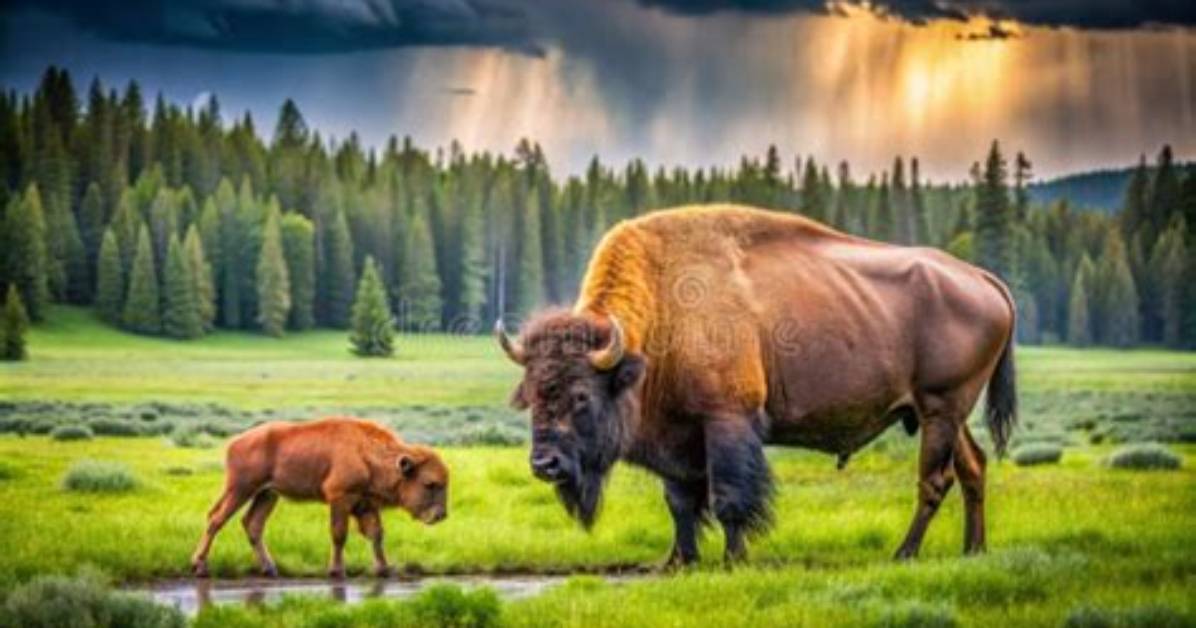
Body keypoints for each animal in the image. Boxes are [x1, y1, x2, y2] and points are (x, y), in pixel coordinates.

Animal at [190, 417, 450, 578]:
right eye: (429, 484)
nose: (441, 515)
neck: (367, 453)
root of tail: (234, 442)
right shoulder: (340, 498)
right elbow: (339, 534)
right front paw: (337, 571)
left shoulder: (365, 504)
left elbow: (376, 535)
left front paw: (384, 570)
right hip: (240, 488)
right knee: (216, 518)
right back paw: (200, 566)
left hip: (267, 494)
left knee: (252, 524)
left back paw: (270, 569)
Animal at [496, 205, 1016, 566]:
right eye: (531, 396)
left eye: (582, 396)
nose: (544, 464)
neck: (663, 311)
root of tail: (981, 277)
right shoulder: (673, 436)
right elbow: (679, 503)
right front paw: (678, 562)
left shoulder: (726, 420)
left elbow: (729, 499)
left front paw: (734, 560)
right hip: (947, 414)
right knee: (973, 467)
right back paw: (974, 550)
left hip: (940, 408)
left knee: (935, 479)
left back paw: (904, 554)